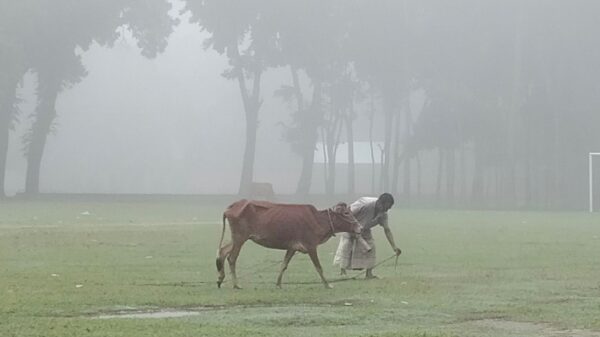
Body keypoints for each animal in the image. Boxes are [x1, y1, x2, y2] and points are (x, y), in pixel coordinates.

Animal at [216, 198, 366, 288]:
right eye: (346, 213)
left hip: (237, 238)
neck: (318, 220)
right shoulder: (311, 246)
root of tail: (232, 206)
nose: (360, 227)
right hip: (240, 238)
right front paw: (327, 284)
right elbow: (319, 267)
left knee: (223, 252)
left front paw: (278, 283)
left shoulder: (292, 247)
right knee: (231, 258)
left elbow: (284, 265)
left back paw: (220, 279)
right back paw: (236, 284)